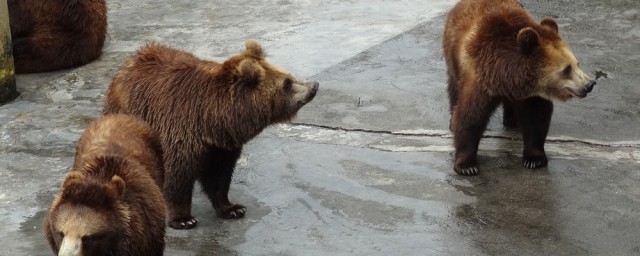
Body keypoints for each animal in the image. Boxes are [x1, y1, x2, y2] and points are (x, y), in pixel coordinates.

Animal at [102, 40, 320, 230]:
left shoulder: (222, 147)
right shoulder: (178, 131)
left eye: (288, 75)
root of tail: (134, 57)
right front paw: (183, 219)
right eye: (287, 83)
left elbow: (219, 177)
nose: (314, 85)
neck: (213, 120)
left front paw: (232, 208)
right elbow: (177, 177)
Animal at [442, 0, 596, 175]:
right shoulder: (479, 80)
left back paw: (511, 119)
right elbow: (470, 116)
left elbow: (536, 117)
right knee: (454, 88)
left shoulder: (530, 94)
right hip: (453, 57)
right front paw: (467, 166)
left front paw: (534, 159)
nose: (589, 84)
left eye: (577, 63)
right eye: (567, 69)